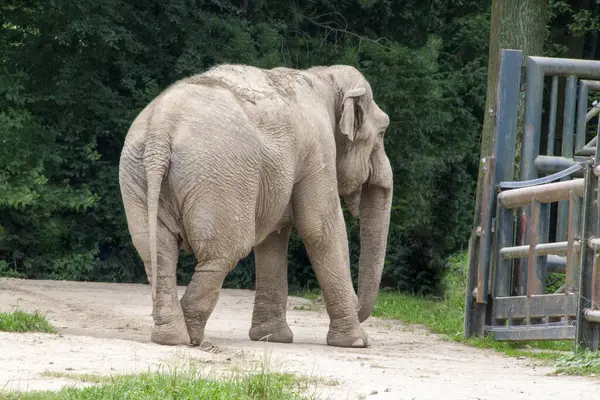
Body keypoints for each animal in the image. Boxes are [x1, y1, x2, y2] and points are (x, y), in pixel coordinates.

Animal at [118, 64, 394, 348]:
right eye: (383, 132)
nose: (360, 308)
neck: (322, 77)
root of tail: (161, 129)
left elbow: (274, 235)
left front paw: (272, 338)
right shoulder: (318, 149)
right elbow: (320, 228)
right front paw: (357, 342)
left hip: (137, 173)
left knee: (157, 250)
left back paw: (171, 337)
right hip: (217, 175)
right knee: (224, 251)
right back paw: (191, 337)